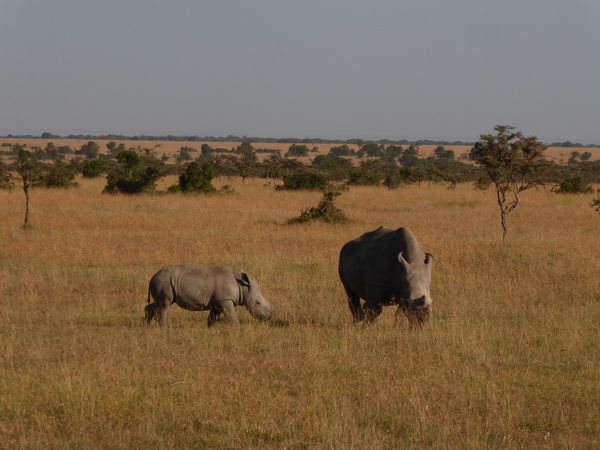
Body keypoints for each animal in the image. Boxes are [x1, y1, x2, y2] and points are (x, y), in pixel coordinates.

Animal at [144, 266, 276, 328]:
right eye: (258, 303)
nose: (268, 317)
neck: (242, 286)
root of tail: (152, 277)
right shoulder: (225, 299)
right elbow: (232, 315)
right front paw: (237, 328)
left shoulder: (217, 302)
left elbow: (212, 318)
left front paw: (210, 329)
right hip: (164, 282)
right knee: (164, 305)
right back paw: (165, 329)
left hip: (164, 281)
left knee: (159, 303)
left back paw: (146, 325)